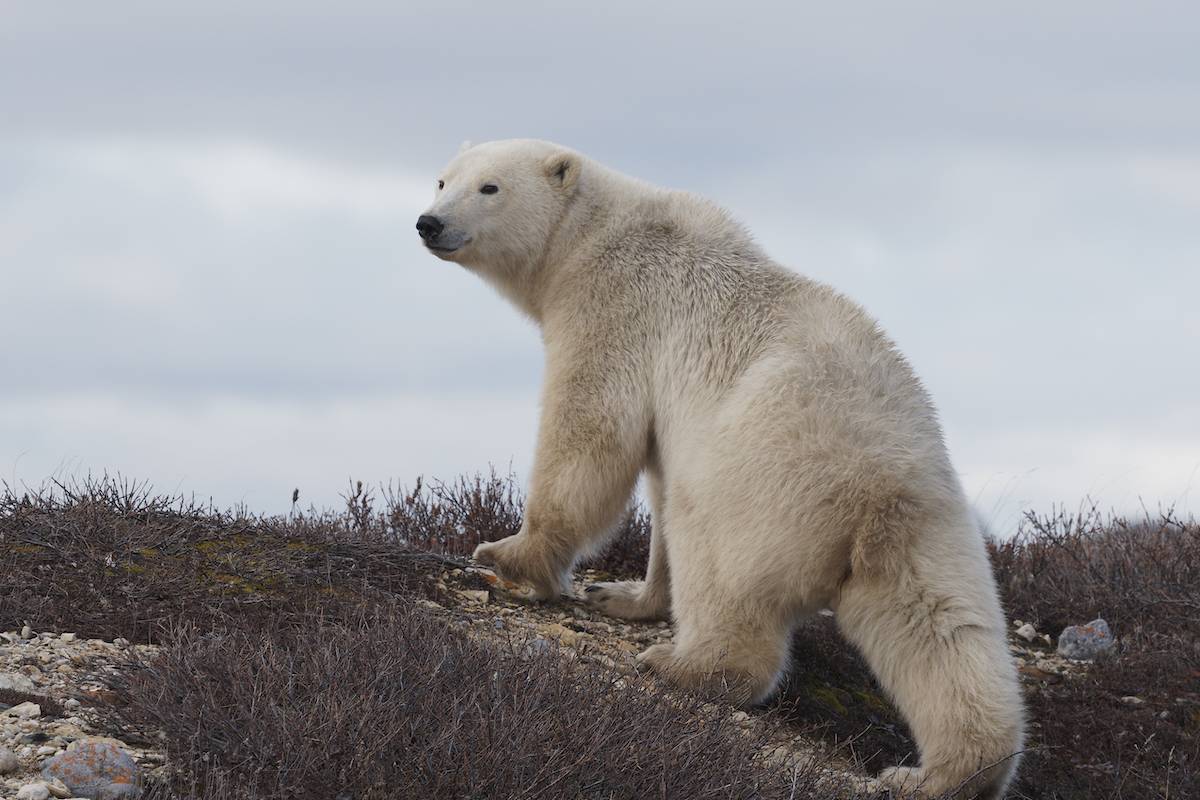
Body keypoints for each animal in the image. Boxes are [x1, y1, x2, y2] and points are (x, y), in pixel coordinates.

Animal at [417, 140, 1027, 796]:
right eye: (442, 180)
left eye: (490, 187)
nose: (429, 222)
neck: (592, 233)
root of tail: (875, 488)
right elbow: (654, 479)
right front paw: (626, 594)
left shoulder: (616, 307)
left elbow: (591, 430)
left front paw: (511, 555)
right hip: (931, 525)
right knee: (942, 630)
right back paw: (946, 772)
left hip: (759, 482)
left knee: (718, 563)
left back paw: (684, 665)